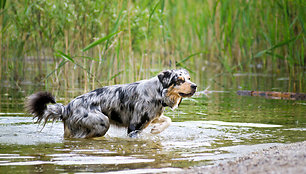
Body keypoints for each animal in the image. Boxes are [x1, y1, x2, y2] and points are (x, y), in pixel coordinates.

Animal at [25, 68, 197, 138]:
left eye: (189, 78)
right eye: (179, 80)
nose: (195, 86)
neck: (157, 93)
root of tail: (66, 107)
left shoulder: (151, 117)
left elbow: (168, 120)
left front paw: (157, 130)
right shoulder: (134, 126)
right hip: (102, 122)